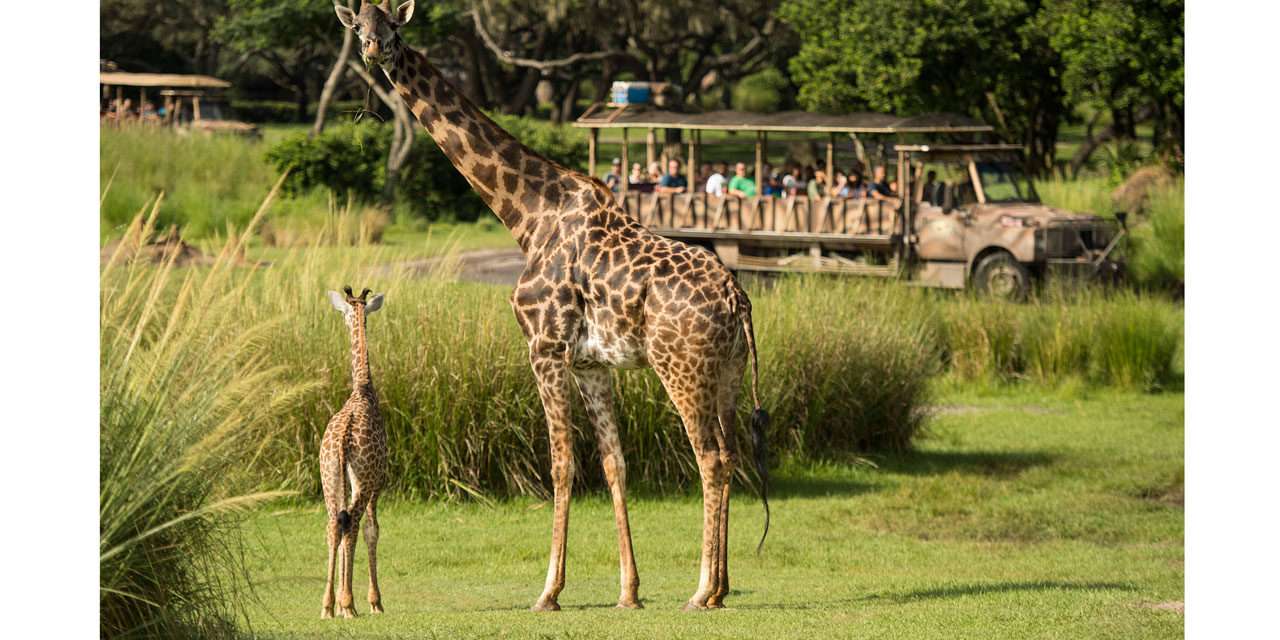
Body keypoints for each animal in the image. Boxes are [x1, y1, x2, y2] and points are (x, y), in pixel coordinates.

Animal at [332, 0, 768, 609]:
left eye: (394, 26)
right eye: (358, 26)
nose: (375, 51)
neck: (525, 216)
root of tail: (737, 297)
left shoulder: (544, 347)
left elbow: (561, 466)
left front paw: (549, 592)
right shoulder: (589, 363)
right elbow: (613, 463)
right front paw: (628, 592)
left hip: (680, 366)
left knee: (709, 456)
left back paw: (700, 590)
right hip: (726, 371)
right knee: (730, 454)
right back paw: (722, 589)